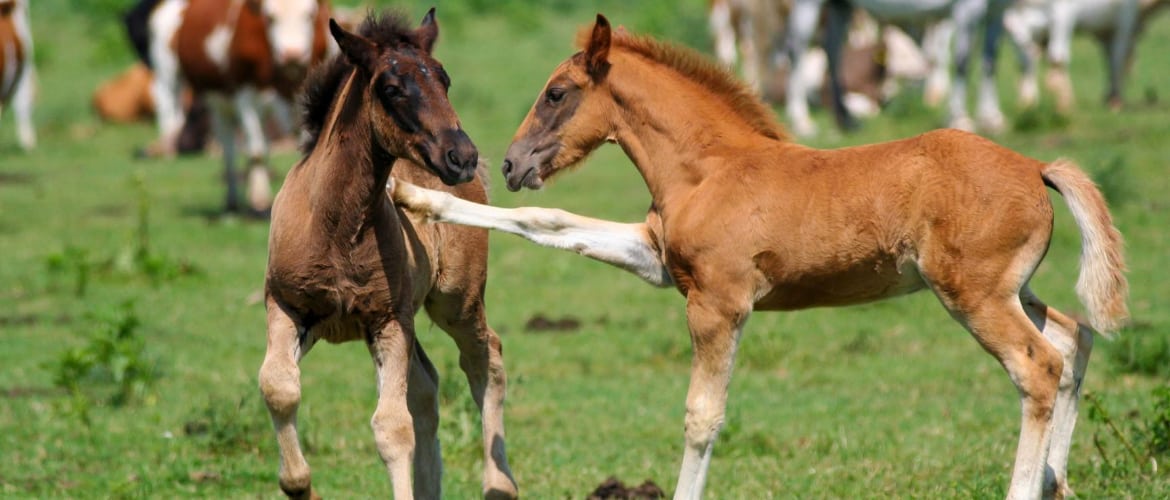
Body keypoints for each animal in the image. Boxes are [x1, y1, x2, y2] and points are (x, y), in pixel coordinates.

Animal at [147, 0, 332, 215]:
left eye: (309, 15)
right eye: (270, 17)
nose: (292, 54)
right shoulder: (245, 96)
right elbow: (256, 152)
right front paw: (260, 200)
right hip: (177, 77)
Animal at [261, 10, 517, 499]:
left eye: (444, 80)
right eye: (392, 89)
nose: (461, 156)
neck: (338, 229)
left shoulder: (387, 320)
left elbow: (392, 427)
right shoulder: (288, 306)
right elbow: (279, 387)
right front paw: (300, 485)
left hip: (455, 301)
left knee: (484, 359)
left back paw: (499, 485)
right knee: (427, 386)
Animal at [391, 15, 1129, 499]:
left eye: (556, 93)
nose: (511, 164)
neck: (708, 168)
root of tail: (1036, 167)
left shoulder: (718, 304)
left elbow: (702, 416)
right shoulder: (657, 260)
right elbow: (551, 222)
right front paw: (412, 195)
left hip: (972, 295)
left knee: (1039, 366)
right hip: (1011, 290)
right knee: (1072, 339)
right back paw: (1057, 480)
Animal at [785, 0, 1013, 136]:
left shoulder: (997, 9)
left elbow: (989, 62)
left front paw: (992, 119)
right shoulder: (969, 8)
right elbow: (962, 63)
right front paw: (959, 117)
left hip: (841, 4)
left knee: (832, 50)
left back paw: (847, 120)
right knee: (797, 51)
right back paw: (801, 121)